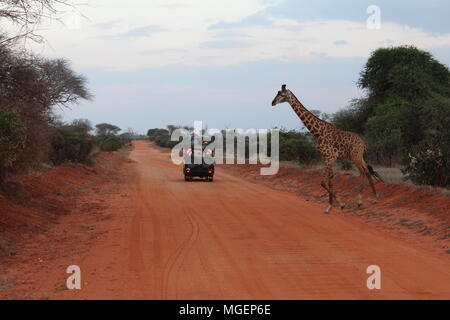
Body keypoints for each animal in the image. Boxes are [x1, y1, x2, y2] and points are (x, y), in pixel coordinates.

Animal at [270, 85, 384, 214]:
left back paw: (360, 201)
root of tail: (363, 143)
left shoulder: (330, 158)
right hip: (358, 156)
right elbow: (329, 180)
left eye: (282, 94)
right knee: (367, 171)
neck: (317, 133)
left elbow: (323, 182)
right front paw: (330, 207)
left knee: (363, 172)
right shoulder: (327, 158)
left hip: (356, 156)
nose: (272, 102)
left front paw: (341, 204)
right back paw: (374, 199)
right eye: (277, 93)